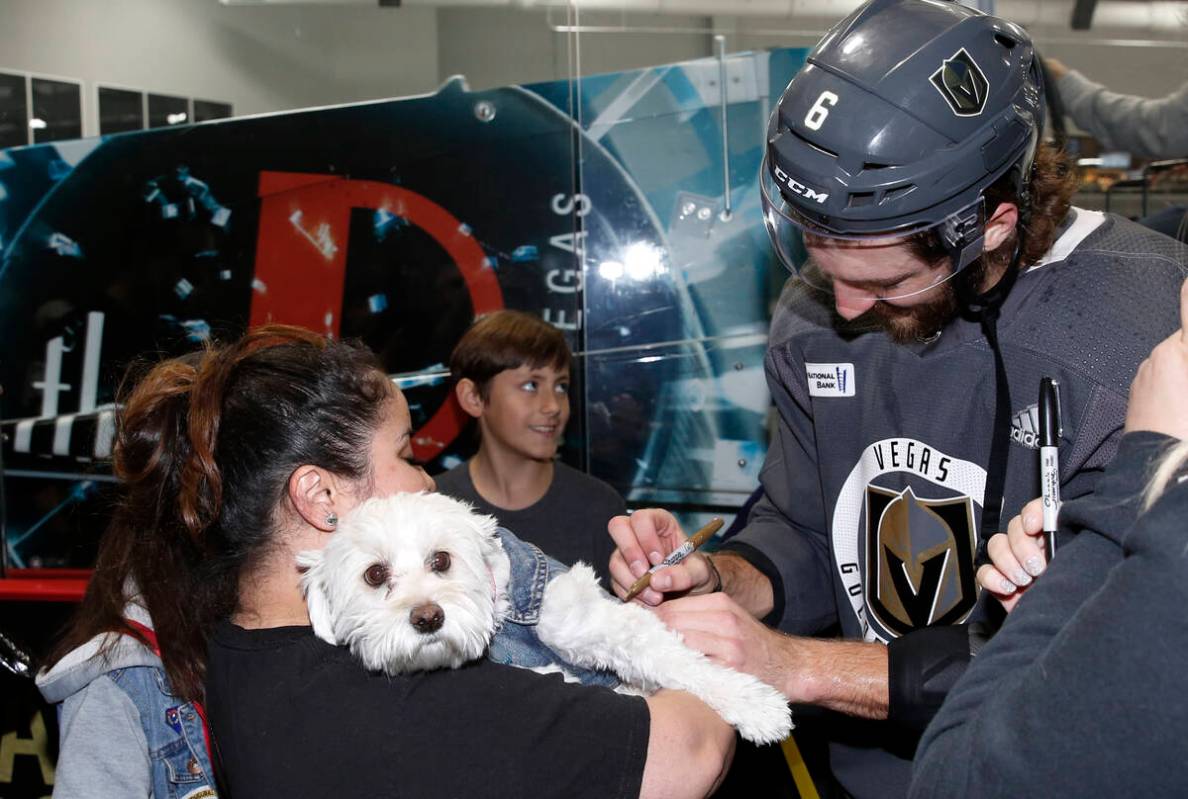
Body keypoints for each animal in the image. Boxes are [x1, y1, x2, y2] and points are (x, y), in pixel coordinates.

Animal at [301, 489, 793, 745]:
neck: (500, 619)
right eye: (375, 574)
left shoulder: (577, 618)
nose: (427, 618)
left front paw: (755, 706)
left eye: (441, 560)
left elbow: (675, 661)